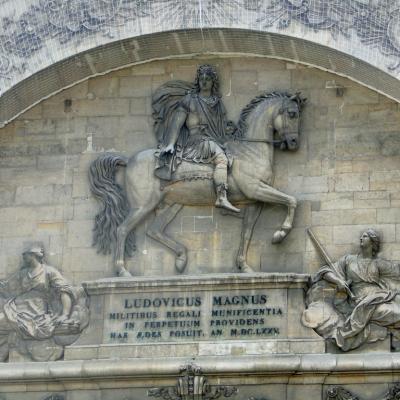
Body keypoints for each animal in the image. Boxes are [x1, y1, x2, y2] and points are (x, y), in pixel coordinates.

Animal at [89, 92, 304, 276]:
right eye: (292, 114)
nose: (294, 142)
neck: (250, 150)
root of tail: (129, 160)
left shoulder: (254, 201)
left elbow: (247, 233)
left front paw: (244, 266)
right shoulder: (256, 189)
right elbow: (291, 200)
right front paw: (281, 233)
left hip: (172, 204)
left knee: (153, 230)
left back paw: (181, 258)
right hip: (143, 205)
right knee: (122, 230)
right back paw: (123, 271)